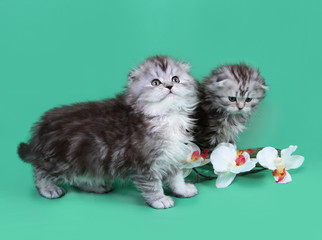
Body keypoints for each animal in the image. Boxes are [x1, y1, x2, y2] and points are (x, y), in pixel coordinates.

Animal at [18, 55, 199, 208]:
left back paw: (97, 186)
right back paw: (48, 189)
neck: (166, 116)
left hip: (87, 160)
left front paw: (183, 190)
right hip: (62, 160)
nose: (169, 86)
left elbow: (176, 178)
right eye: (155, 82)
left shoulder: (172, 154)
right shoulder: (144, 162)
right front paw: (159, 199)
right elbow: (152, 184)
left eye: (175, 79)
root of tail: (41, 127)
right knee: (40, 171)